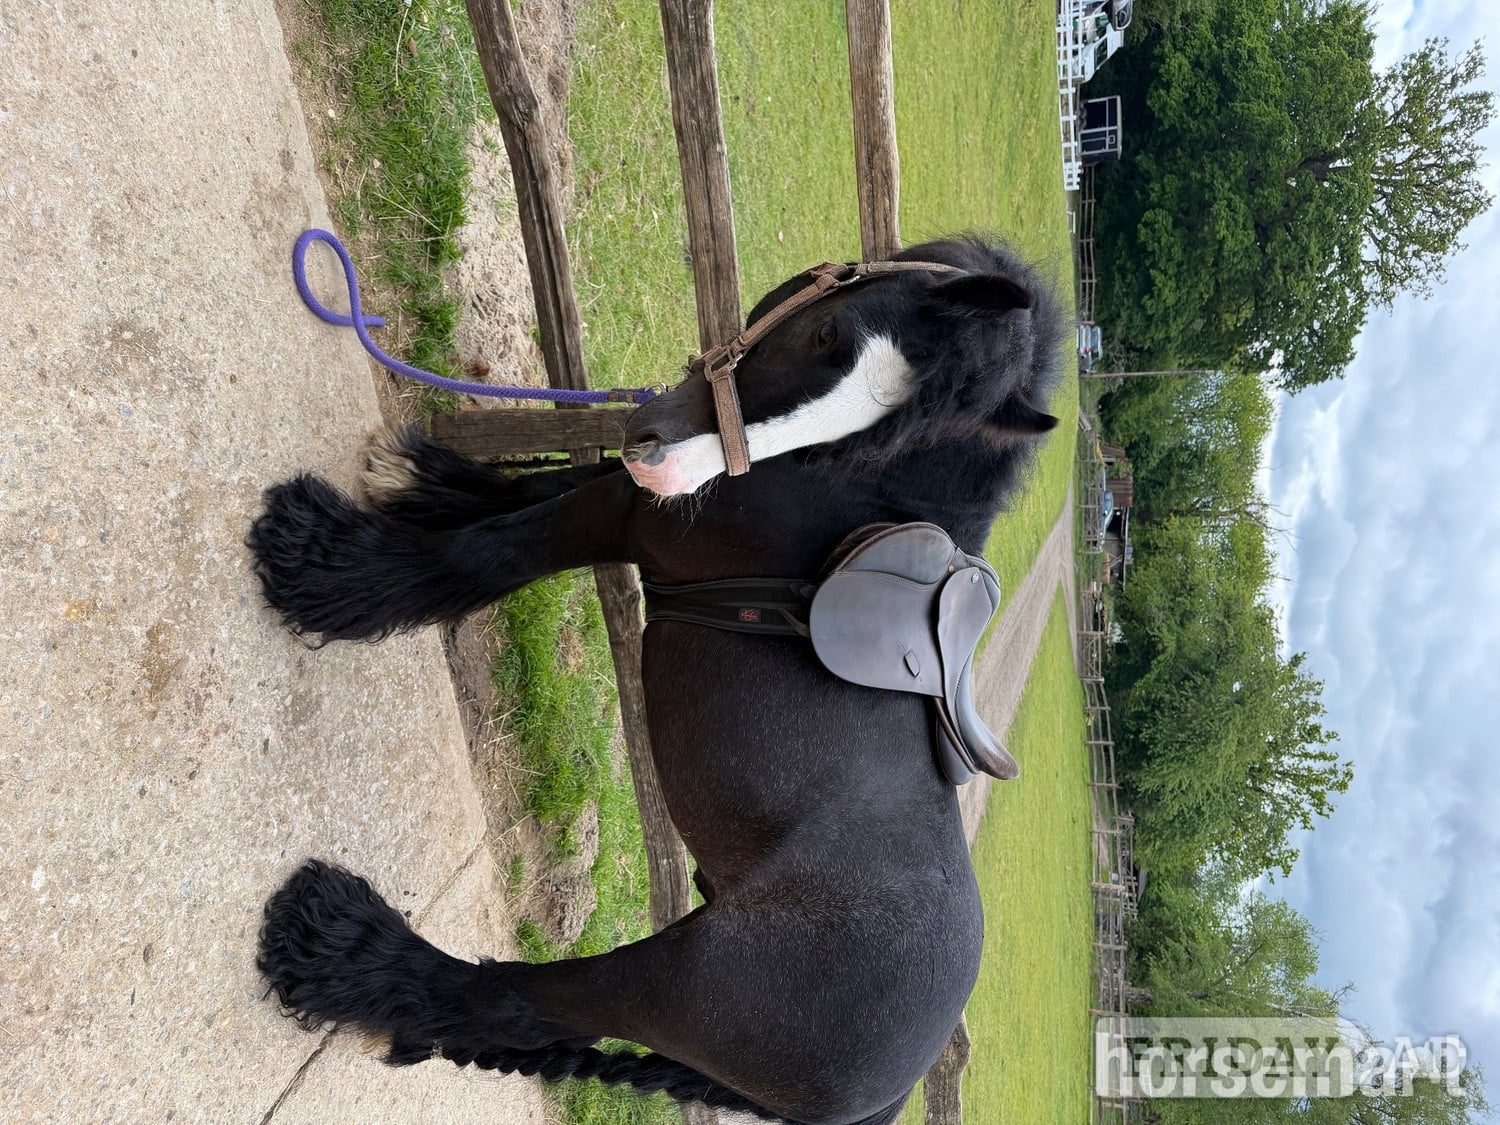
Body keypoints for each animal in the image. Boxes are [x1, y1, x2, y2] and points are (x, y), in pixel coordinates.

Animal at [248, 235, 1063, 1125]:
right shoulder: (626, 494)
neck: (843, 486)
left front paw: (331, 573)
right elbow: (537, 485)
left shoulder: (631, 519)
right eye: (826, 335)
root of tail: (887, 1091)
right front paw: (428, 482)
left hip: (671, 980)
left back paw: (342, 949)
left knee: (520, 1003)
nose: (666, 463)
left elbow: (495, 551)